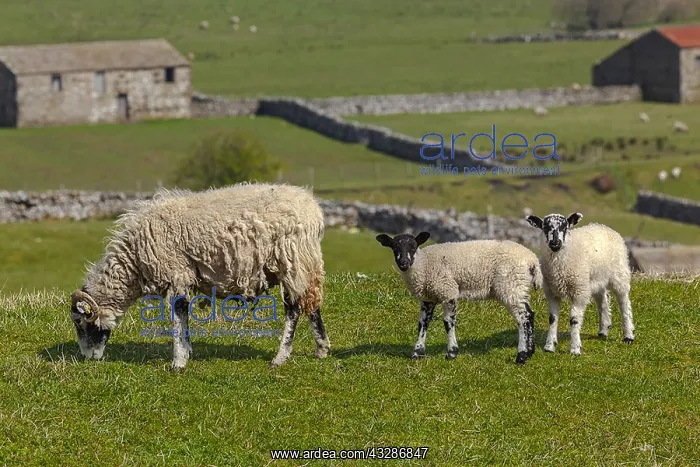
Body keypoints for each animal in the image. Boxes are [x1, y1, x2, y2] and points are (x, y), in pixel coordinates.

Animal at [68, 182, 329, 371]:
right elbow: (183, 318)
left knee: (293, 309)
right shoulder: (182, 276)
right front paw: (187, 351)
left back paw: (280, 357)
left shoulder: (176, 273)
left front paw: (178, 362)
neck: (134, 262)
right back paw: (322, 349)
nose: (88, 358)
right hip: (305, 263)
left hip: (290, 259)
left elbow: (177, 316)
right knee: (311, 303)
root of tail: (314, 211)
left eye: (80, 323)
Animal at [375, 232, 543, 365]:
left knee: (522, 318)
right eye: (394, 247)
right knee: (530, 314)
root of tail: (532, 260)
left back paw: (521, 356)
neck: (423, 264)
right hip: (520, 287)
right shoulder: (428, 298)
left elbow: (448, 322)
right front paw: (418, 352)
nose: (404, 263)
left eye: (413, 246)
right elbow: (422, 323)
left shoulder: (448, 291)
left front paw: (451, 352)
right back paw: (530, 352)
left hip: (511, 285)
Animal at [526, 212, 635, 356]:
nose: (555, 243)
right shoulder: (552, 292)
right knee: (603, 302)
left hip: (619, 275)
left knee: (624, 303)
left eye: (565, 227)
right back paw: (603, 330)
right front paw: (549, 346)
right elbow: (552, 319)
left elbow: (574, 319)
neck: (559, 267)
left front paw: (575, 348)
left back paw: (628, 335)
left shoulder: (579, 292)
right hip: (596, 280)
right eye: (545, 227)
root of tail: (603, 226)